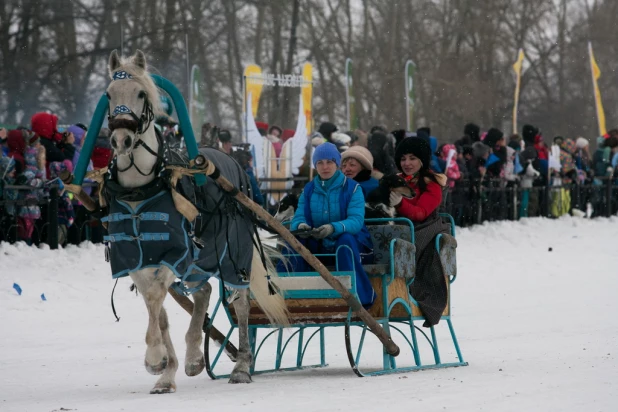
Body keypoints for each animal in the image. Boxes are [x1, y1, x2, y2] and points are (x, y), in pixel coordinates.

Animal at [105, 50, 286, 394]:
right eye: (109, 94)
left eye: (141, 93)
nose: (121, 139)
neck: (139, 191)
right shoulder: (133, 258)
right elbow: (159, 310)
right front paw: (165, 370)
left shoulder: (173, 254)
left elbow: (155, 297)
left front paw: (155, 357)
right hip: (201, 258)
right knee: (204, 291)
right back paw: (191, 357)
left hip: (232, 254)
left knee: (240, 302)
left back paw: (242, 365)